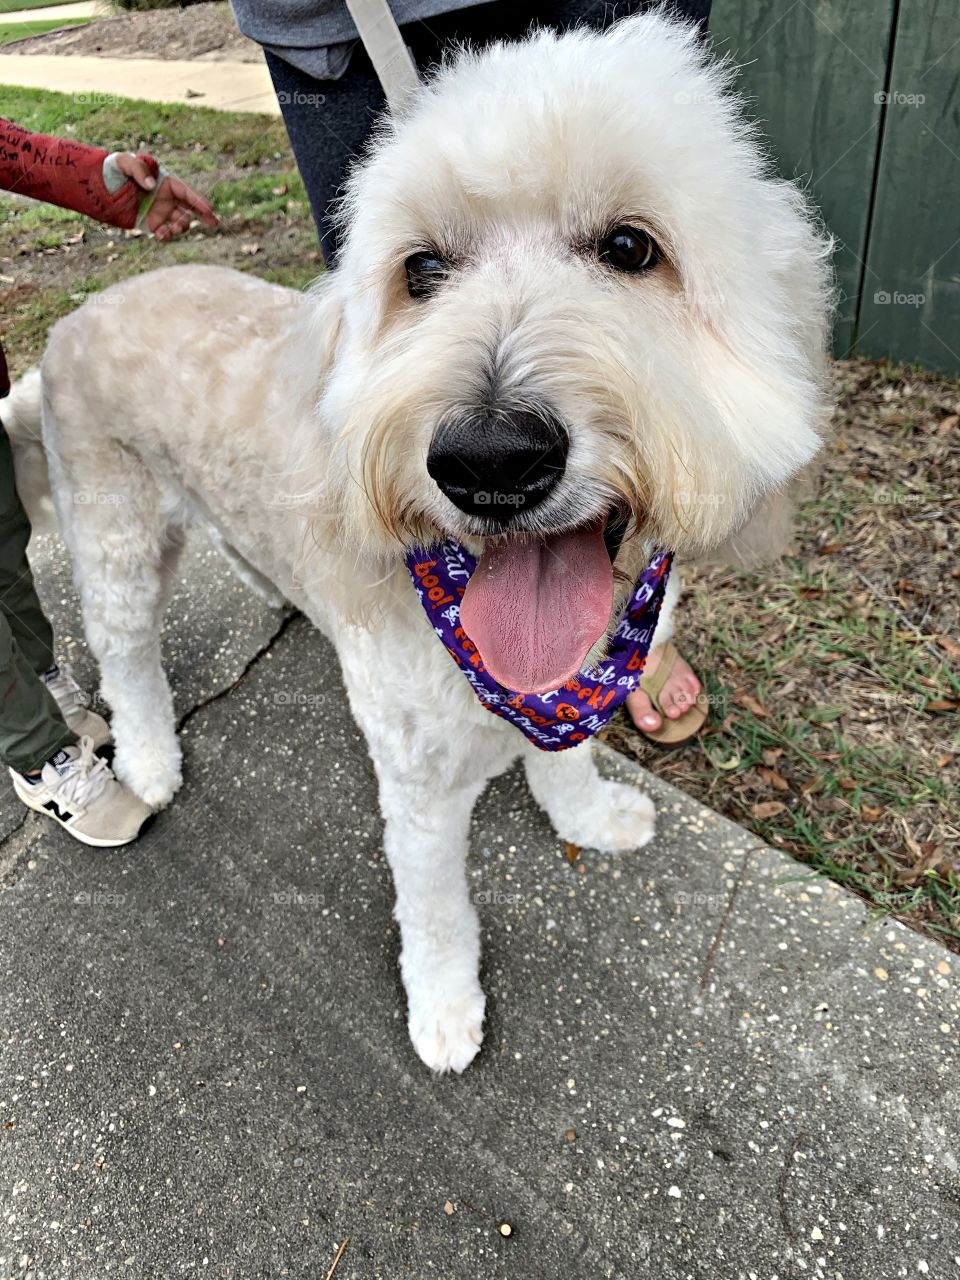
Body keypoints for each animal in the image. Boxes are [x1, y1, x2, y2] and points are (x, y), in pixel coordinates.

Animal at [3, 12, 834, 1070]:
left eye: (631, 247)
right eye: (423, 271)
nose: (490, 457)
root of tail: (71, 323)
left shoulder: (562, 695)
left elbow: (565, 760)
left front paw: (591, 818)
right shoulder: (418, 784)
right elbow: (435, 909)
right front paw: (443, 1008)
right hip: (113, 534)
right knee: (128, 657)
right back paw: (147, 764)